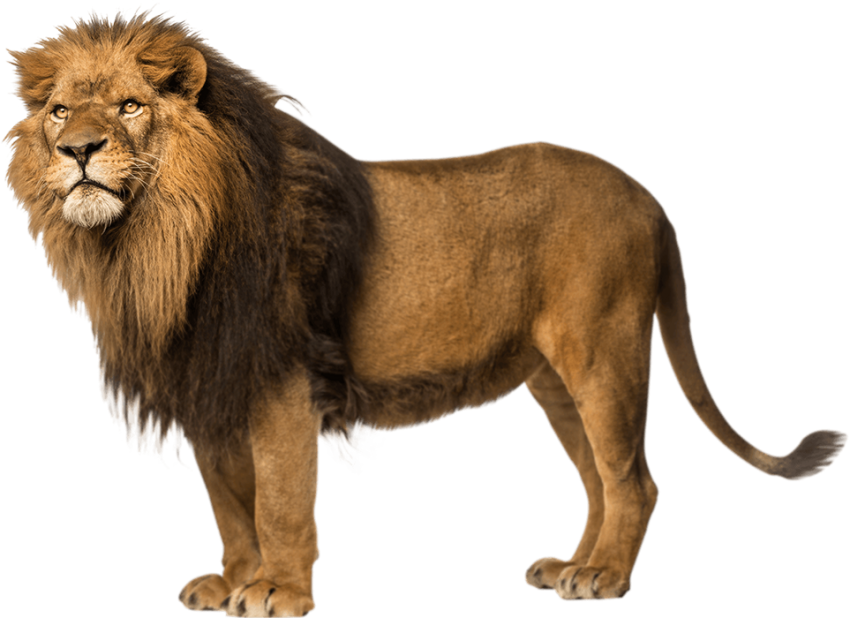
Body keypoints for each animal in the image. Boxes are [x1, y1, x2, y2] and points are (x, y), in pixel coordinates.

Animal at [4, 6, 846, 616]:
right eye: (58, 112)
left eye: (129, 106)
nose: (79, 150)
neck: (152, 243)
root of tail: (650, 196)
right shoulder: (209, 385)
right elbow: (228, 505)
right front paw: (233, 582)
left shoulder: (283, 385)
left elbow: (279, 503)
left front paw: (278, 592)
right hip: (553, 380)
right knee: (598, 481)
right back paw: (573, 566)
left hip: (604, 352)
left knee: (635, 479)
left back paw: (606, 577)